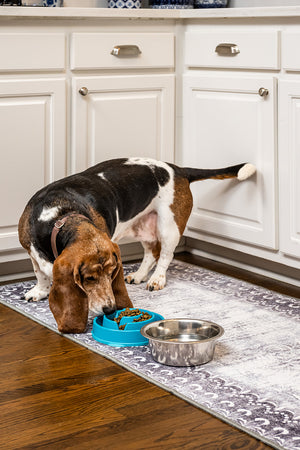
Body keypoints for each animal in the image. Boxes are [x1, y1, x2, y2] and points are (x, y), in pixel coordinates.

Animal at [18, 156, 255, 332]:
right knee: (151, 253)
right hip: (144, 226)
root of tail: (177, 169)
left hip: (169, 226)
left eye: (112, 273)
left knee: (165, 255)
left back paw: (156, 279)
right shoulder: (31, 252)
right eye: (89, 278)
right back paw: (140, 275)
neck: (59, 217)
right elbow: (40, 273)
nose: (110, 308)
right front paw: (39, 291)